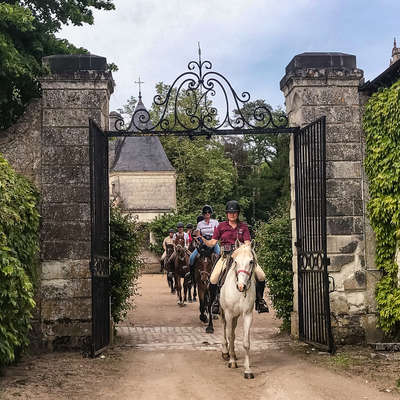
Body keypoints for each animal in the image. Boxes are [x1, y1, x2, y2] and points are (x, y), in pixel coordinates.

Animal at [219, 244, 256, 378]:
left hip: (236, 316)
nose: (241, 286)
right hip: (223, 312)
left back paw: (233, 353)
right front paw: (232, 362)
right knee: (225, 328)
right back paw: (226, 353)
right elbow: (229, 335)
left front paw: (248, 370)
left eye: (251, 261)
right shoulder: (229, 313)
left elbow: (246, 342)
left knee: (233, 331)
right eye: (235, 261)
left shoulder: (248, 315)